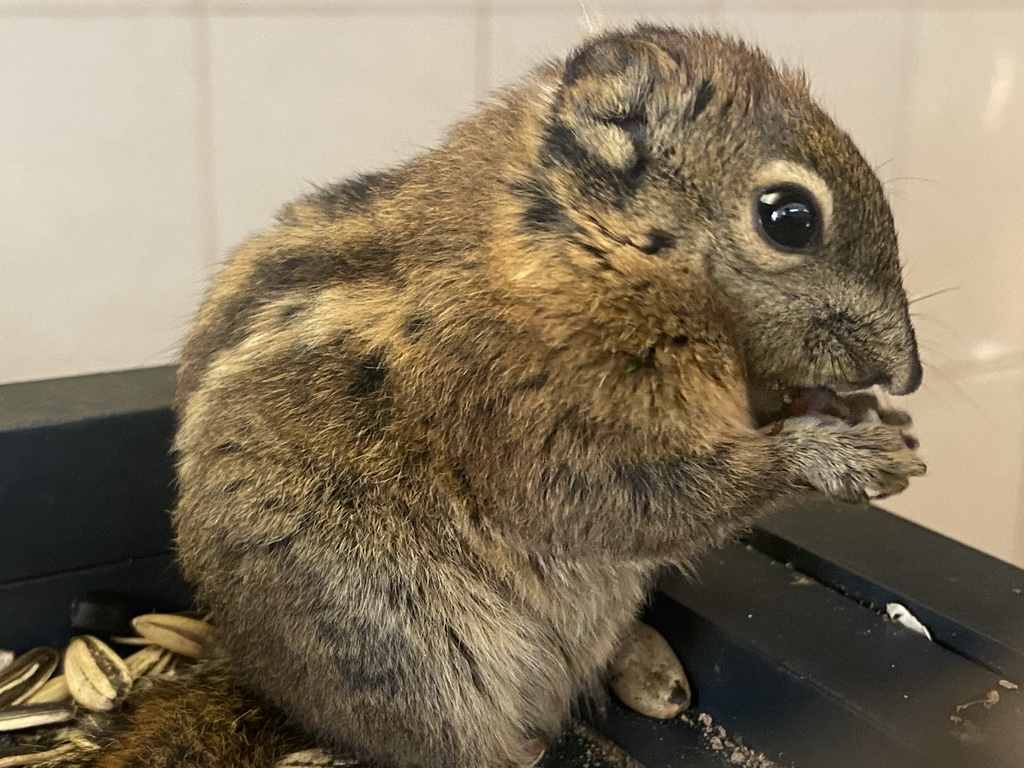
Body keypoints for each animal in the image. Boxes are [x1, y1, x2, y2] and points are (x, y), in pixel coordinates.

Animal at [64, 24, 929, 768]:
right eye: (789, 218)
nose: (909, 372)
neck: (578, 245)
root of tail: (263, 685)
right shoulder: (534, 422)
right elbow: (645, 500)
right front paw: (836, 454)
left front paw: (870, 418)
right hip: (400, 644)